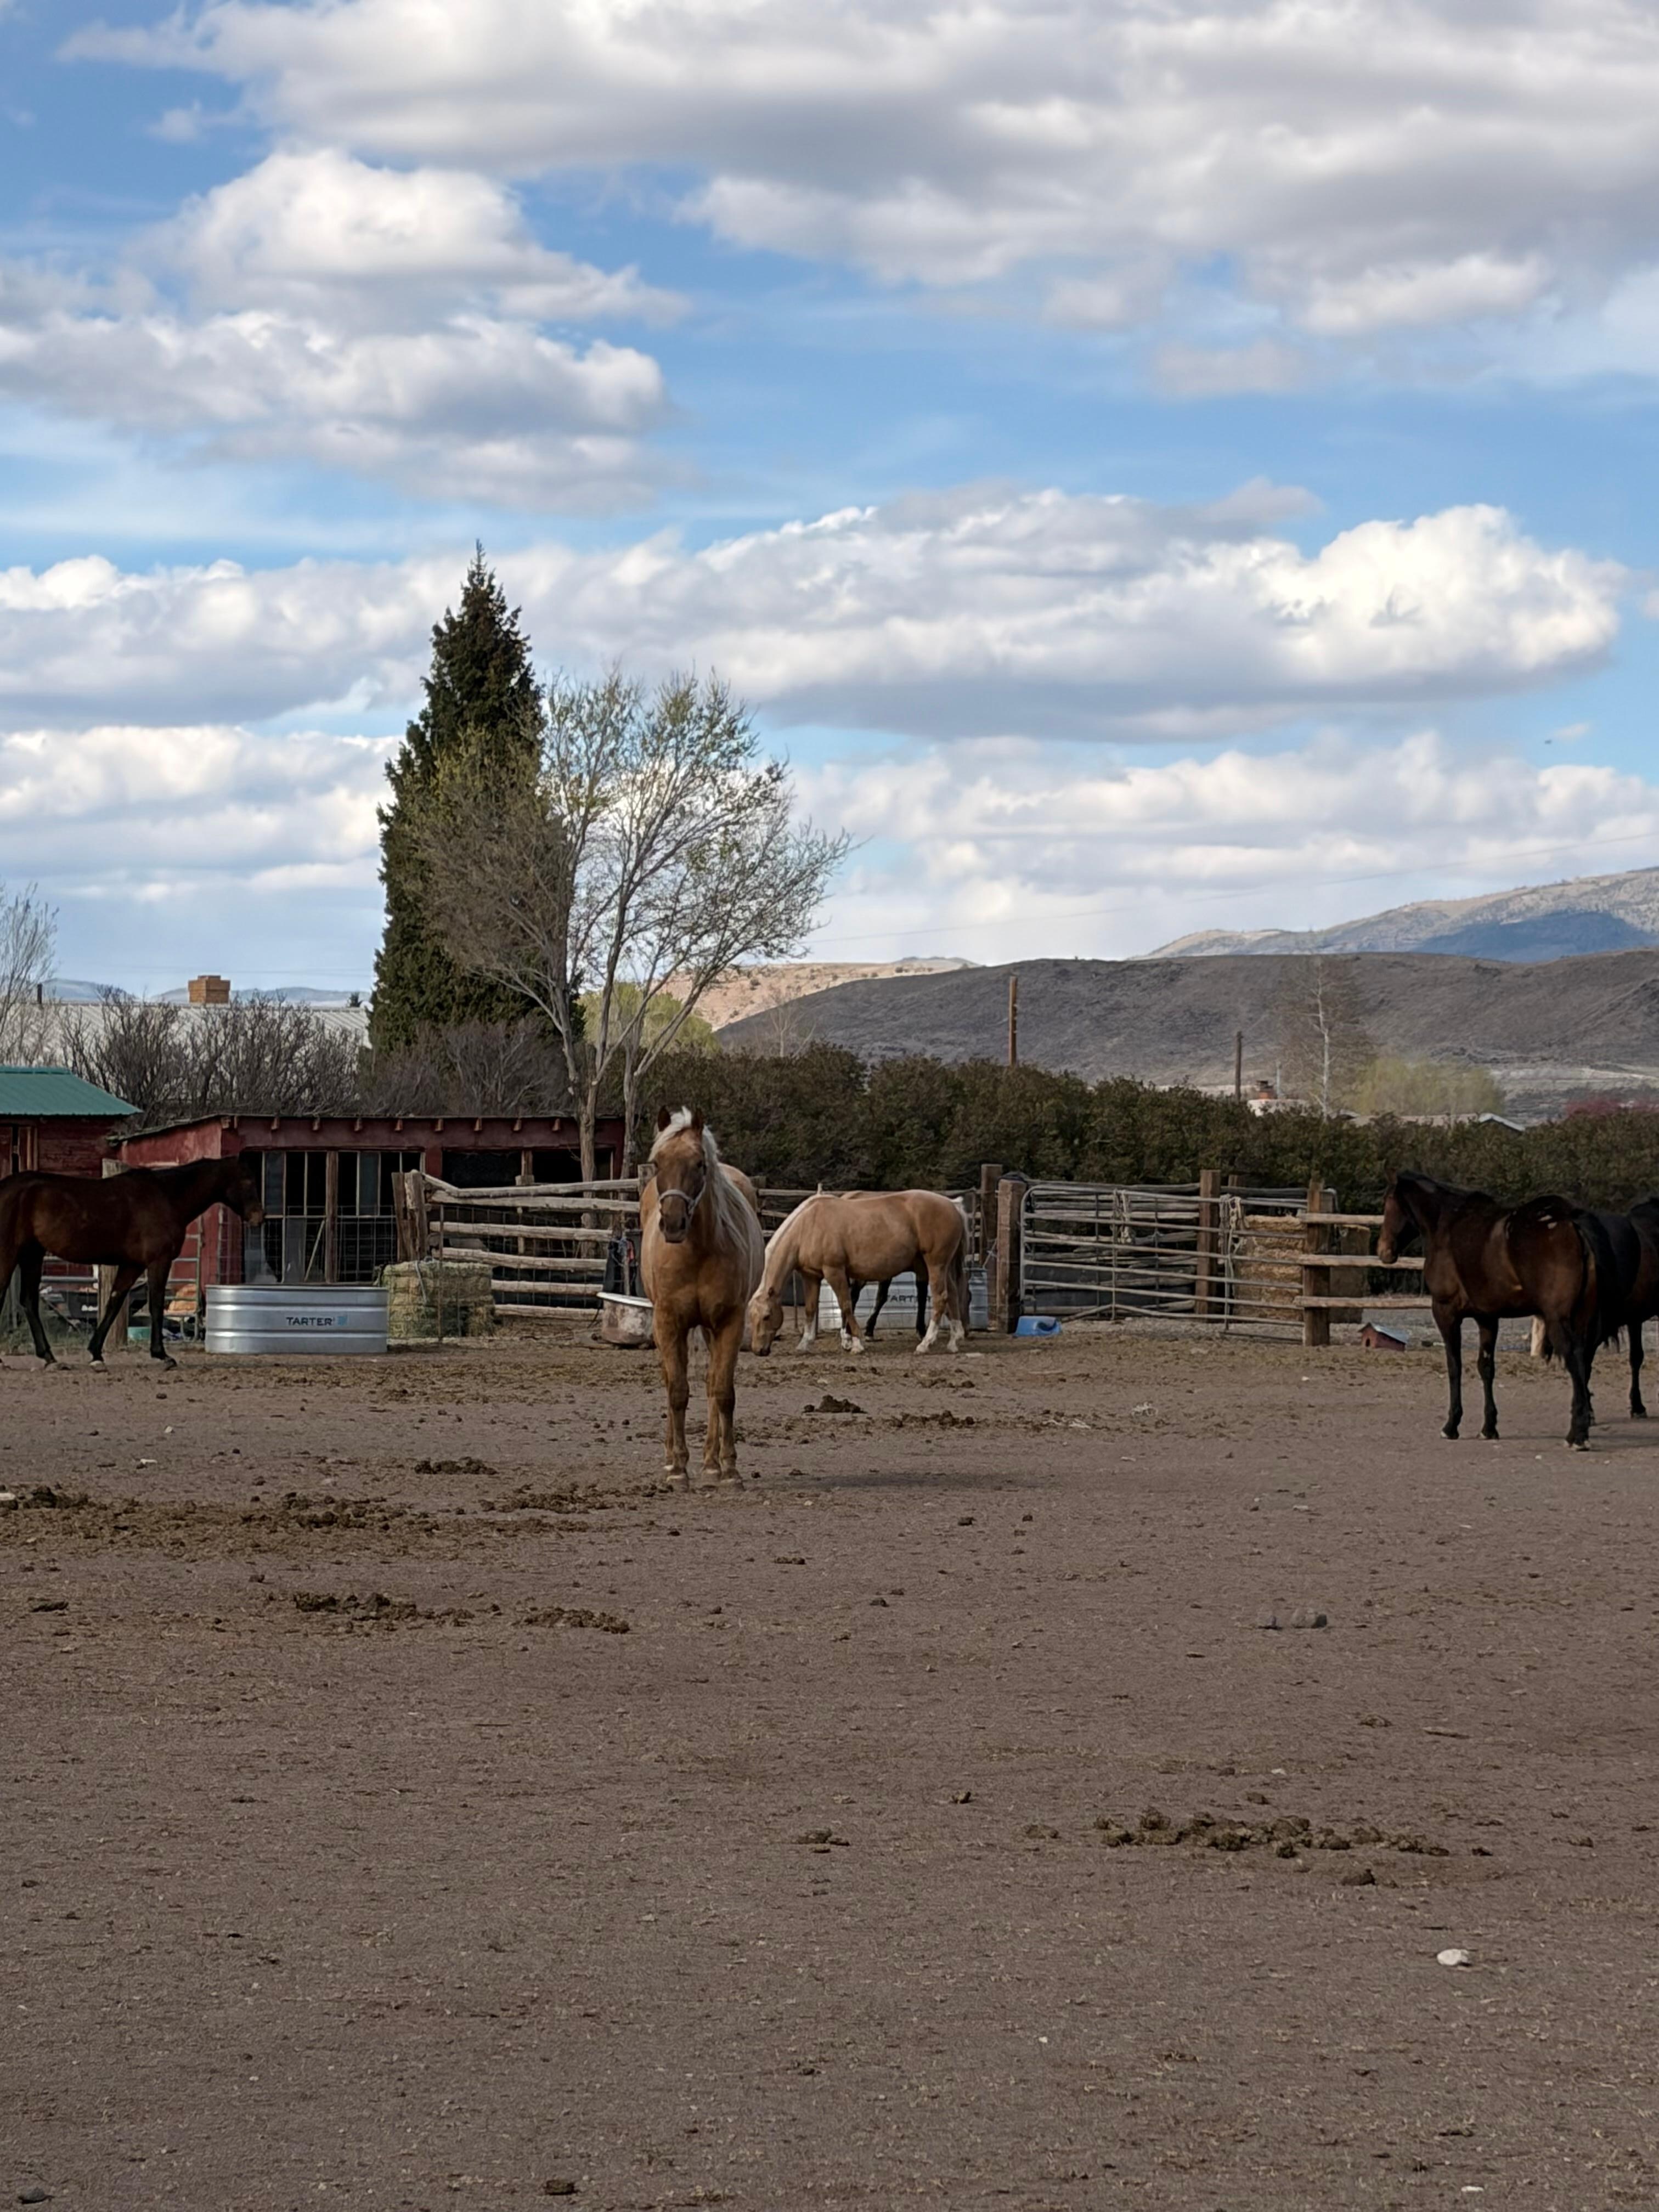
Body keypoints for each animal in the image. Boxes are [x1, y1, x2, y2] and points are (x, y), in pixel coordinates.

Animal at [0, 1156, 265, 1370]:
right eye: (248, 1181)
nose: (259, 1218)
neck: (166, 1196)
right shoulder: (158, 1261)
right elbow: (156, 1304)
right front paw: (162, 1355)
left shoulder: (132, 1265)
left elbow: (115, 1302)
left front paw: (96, 1354)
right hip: (10, 1254)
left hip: (32, 1255)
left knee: (29, 1301)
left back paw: (50, 1358)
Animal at [639, 1108, 764, 1490]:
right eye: (657, 1163)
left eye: (699, 1164)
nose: (673, 1223)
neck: (696, 1252)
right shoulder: (668, 1322)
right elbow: (677, 1391)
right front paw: (678, 1469)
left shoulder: (729, 1322)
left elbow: (722, 1392)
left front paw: (729, 1470)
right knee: (671, 1381)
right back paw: (672, 1461)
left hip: (711, 1329)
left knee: (711, 1385)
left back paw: (711, 1464)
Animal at [747, 1189, 968, 1357]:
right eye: (752, 1317)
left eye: (767, 1316)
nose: (758, 1350)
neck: (808, 1226)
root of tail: (952, 1204)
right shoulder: (811, 1276)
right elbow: (811, 1309)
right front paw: (805, 1344)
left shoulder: (834, 1271)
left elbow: (846, 1305)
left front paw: (857, 1343)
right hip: (942, 1267)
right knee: (953, 1295)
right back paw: (954, 1341)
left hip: (936, 1264)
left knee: (940, 1298)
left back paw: (925, 1344)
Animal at [1378, 1170, 1622, 1449]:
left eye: (1388, 1201)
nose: (1384, 1251)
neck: (1448, 1224)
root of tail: (1571, 1222)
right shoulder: (1487, 1318)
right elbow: (1486, 1368)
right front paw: (1489, 1427)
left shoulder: (1446, 1313)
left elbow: (1454, 1366)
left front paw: (1452, 1425)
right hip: (1581, 1320)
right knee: (1583, 1362)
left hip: (1558, 1320)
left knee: (1574, 1360)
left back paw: (1577, 1436)